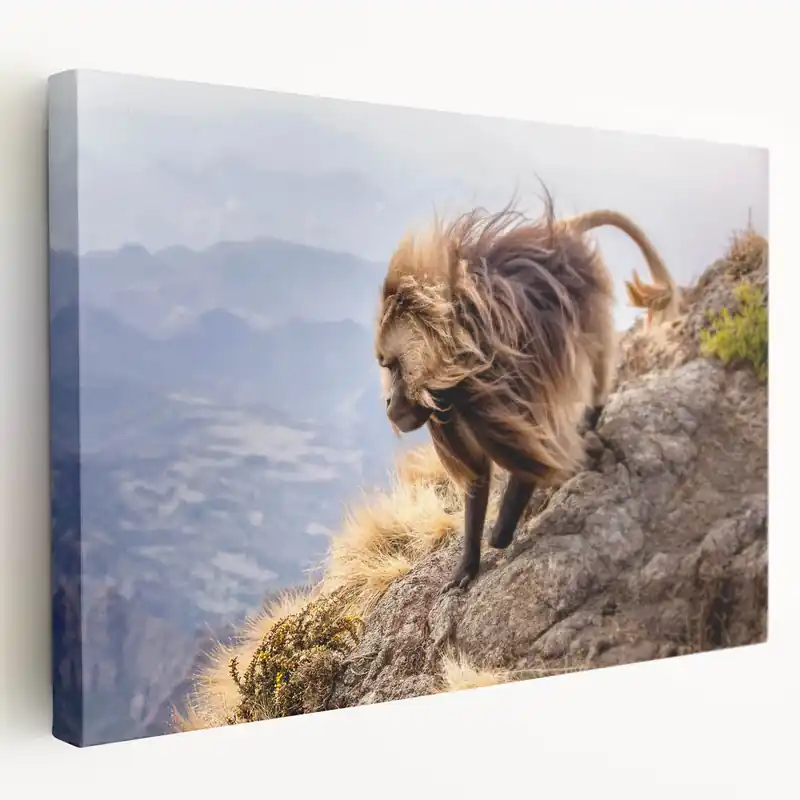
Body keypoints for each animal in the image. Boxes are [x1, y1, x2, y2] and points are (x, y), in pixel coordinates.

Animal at [374, 192, 679, 594]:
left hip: (584, 299)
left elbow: (532, 449)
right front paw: (466, 566)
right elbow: (477, 474)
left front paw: (503, 529)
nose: (388, 403)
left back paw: (592, 415)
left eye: (394, 367)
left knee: (597, 354)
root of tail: (558, 232)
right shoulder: (451, 413)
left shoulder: (500, 387)